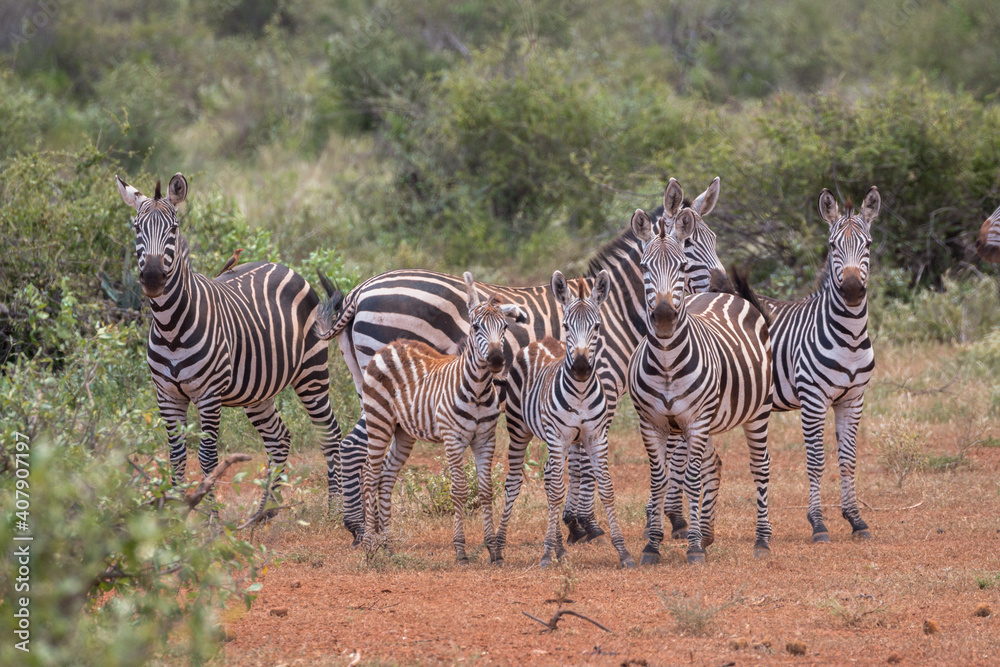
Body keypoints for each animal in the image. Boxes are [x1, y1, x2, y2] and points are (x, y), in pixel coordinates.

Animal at [116, 173, 342, 517]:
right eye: (136, 227)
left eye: (174, 228)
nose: (153, 278)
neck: (170, 327)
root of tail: (284, 266)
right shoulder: (167, 396)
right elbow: (176, 457)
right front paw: (174, 516)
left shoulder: (209, 395)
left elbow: (207, 458)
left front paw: (210, 517)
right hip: (259, 390)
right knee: (279, 438)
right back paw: (265, 511)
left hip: (312, 373)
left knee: (330, 435)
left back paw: (335, 509)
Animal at [360, 273, 527, 563]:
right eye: (476, 327)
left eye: (505, 327)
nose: (496, 360)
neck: (478, 391)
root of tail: (390, 346)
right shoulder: (453, 438)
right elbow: (459, 490)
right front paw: (460, 550)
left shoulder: (485, 439)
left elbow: (485, 490)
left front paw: (493, 548)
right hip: (378, 419)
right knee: (371, 475)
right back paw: (370, 544)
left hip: (403, 431)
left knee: (386, 477)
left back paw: (387, 545)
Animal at [496, 270, 635, 569]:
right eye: (567, 326)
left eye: (597, 327)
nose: (581, 367)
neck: (581, 392)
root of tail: (540, 341)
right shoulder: (558, 437)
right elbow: (559, 491)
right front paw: (546, 554)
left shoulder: (596, 437)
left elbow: (606, 488)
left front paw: (623, 551)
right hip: (519, 429)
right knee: (514, 482)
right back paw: (498, 548)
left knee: (550, 475)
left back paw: (560, 549)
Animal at [627, 207, 773, 565]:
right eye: (644, 267)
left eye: (681, 266)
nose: (665, 316)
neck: (666, 361)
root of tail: (724, 294)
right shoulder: (651, 423)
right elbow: (660, 481)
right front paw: (652, 546)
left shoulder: (695, 421)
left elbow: (691, 480)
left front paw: (692, 547)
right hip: (707, 421)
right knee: (714, 464)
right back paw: (706, 533)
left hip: (757, 412)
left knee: (760, 467)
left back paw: (761, 541)